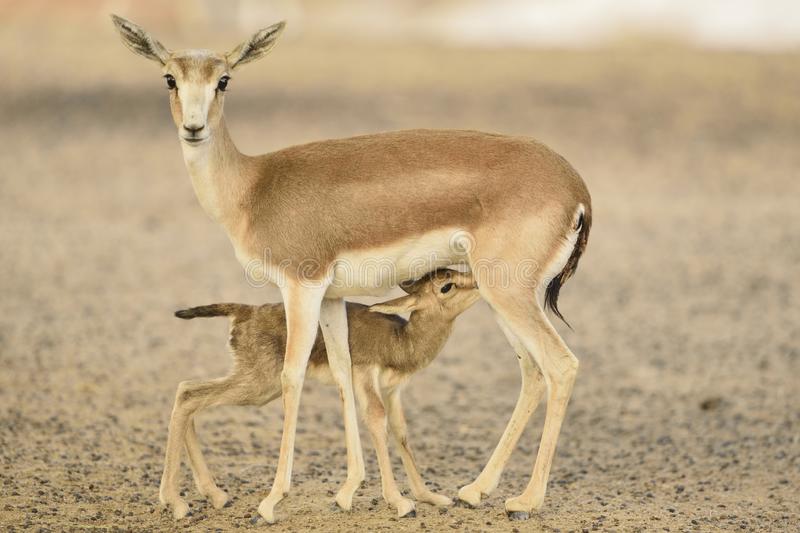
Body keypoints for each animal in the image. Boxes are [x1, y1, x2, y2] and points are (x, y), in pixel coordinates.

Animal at [160, 269, 479, 520]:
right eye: (447, 285)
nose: (478, 282)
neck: (401, 340)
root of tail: (245, 311)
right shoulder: (365, 378)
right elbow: (377, 422)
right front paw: (401, 503)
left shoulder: (393, 390)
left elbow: (401, 432)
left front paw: (429, 496)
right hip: (258, 386)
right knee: (188, 395)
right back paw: (178, 504)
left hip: (260, 387)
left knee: (188, 393)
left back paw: (215, 496)